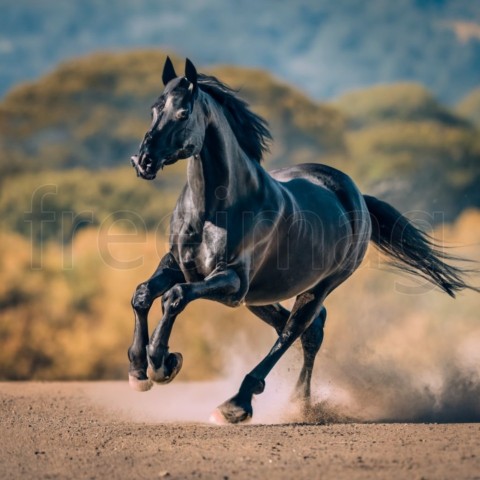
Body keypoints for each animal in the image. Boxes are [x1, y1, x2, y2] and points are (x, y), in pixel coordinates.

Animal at [128, 57, 476, 424]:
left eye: (182, 113)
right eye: (154, 109)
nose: (144, 162)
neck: (213, 209)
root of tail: (357, 197)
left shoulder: (232, 282)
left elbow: (176, 297)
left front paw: (162, 364)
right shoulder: (178, 265)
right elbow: (143, 294)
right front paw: (138, 370)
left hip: (315, 287)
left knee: (294, 331)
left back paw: (243, 405)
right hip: (261, 297)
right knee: (309, 329)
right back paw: (301, 403)